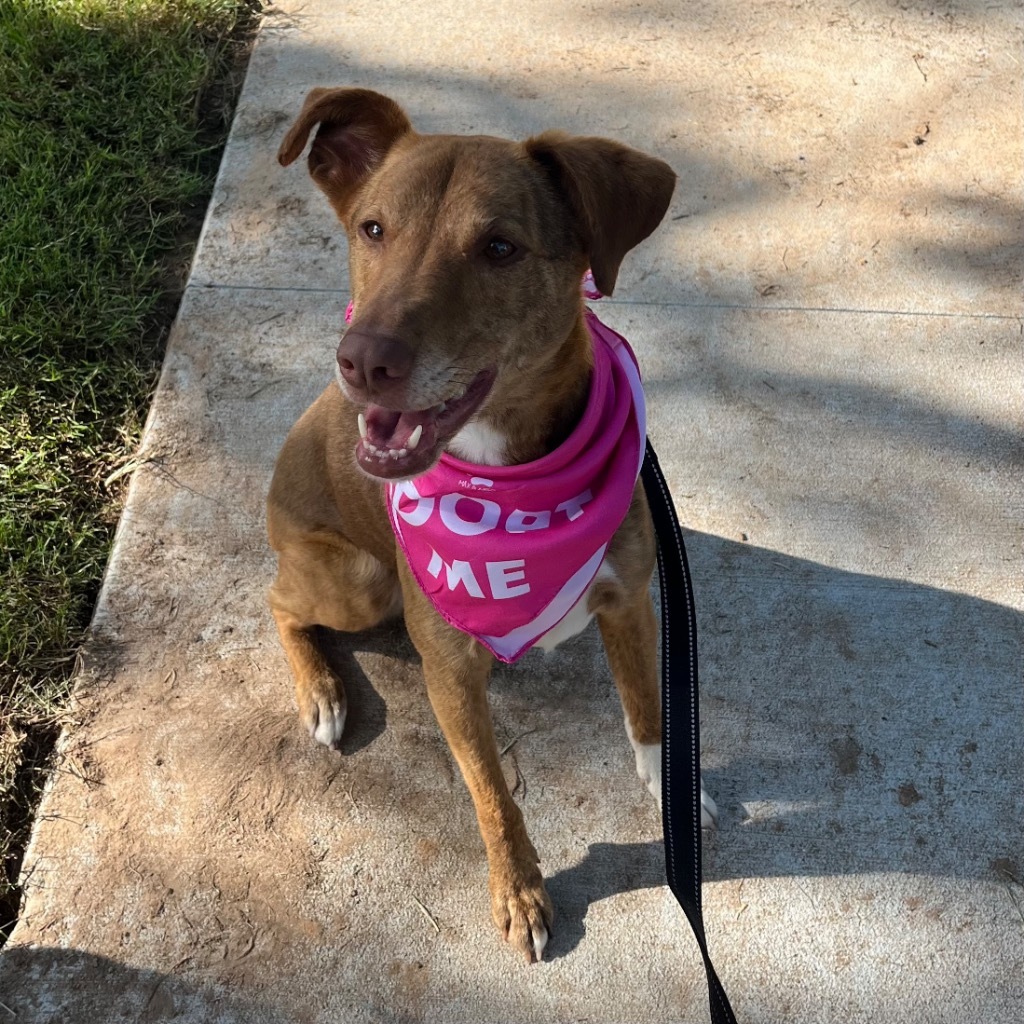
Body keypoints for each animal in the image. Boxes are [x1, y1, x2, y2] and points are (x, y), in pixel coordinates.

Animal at [266, 86, 712, 958]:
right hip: (359, 580)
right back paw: (323, 692)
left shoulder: (632, 600)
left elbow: (648, 702)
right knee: (275, 600)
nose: (362, 361)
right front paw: (521, 891)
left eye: (500, 248)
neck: (509, 485)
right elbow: (492, 794)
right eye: (373, 229)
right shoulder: (450, 673)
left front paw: (668, 780)